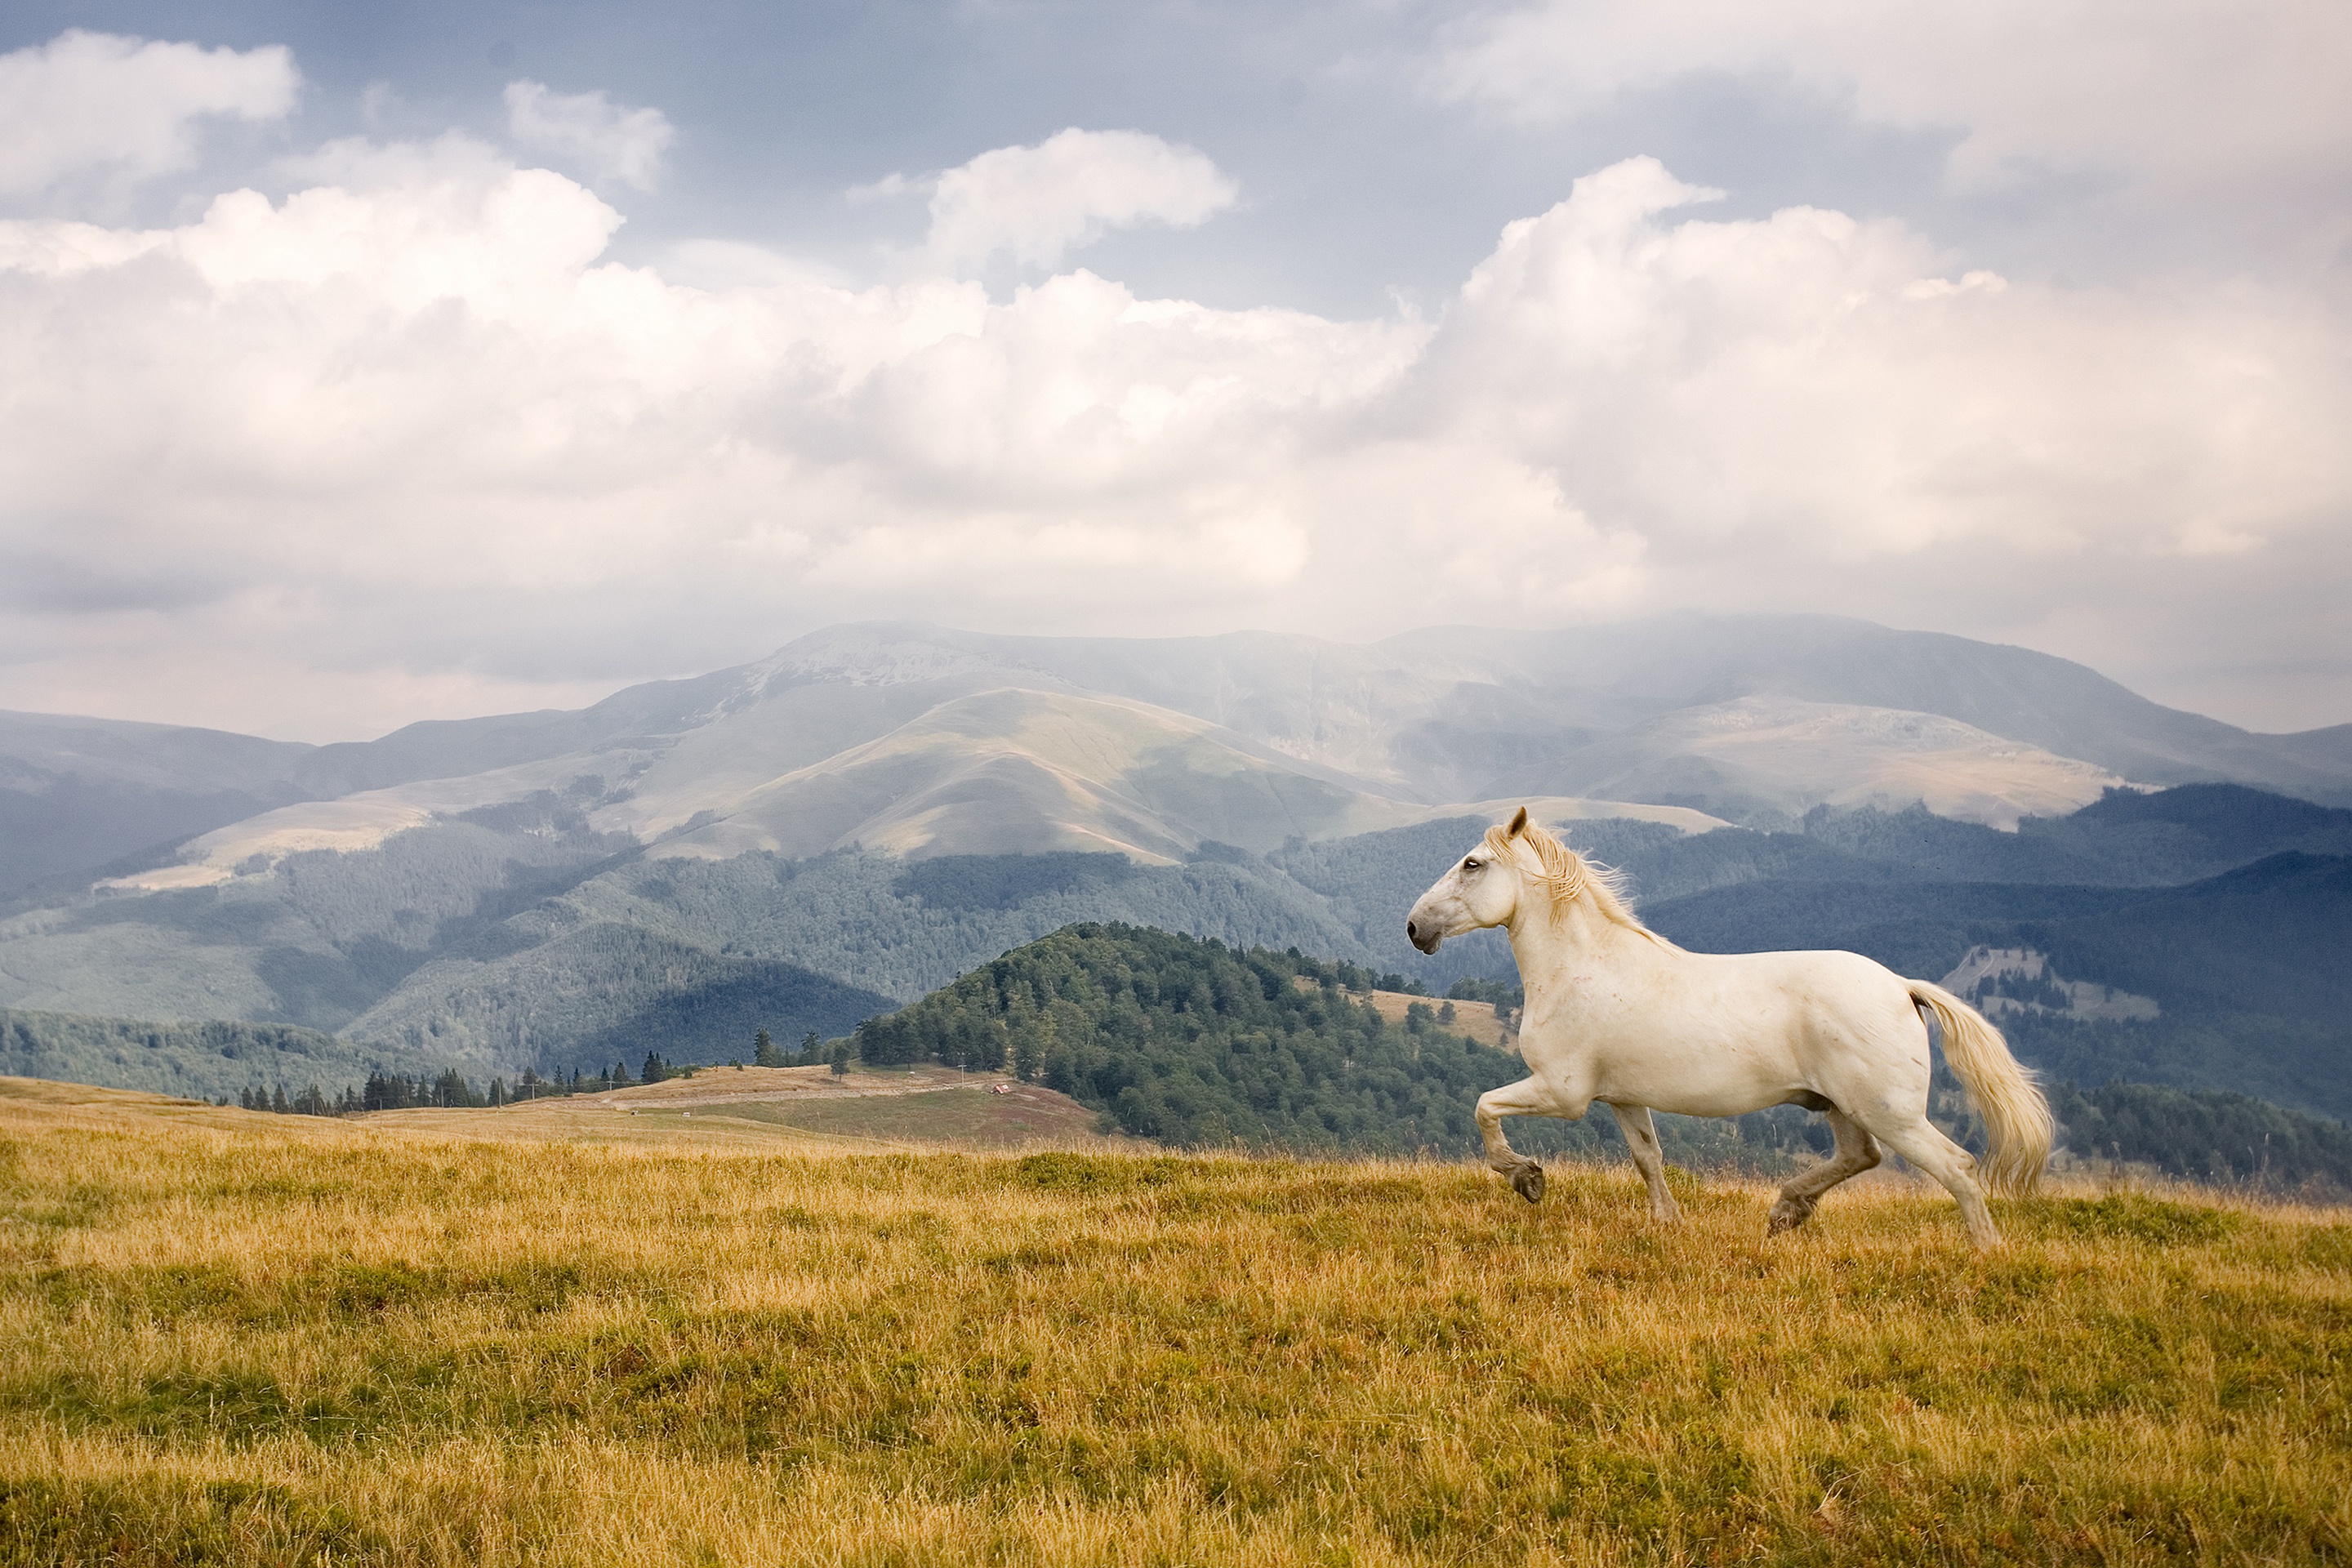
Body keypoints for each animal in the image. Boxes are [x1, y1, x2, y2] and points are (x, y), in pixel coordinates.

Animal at [1401, 808, 2051, 1250]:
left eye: (1472, 864)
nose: (1414, 927)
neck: (1581, 968)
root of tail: (1900, 986)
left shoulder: (1564, 1093)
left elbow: (1485, 1108)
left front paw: (1528, 1179)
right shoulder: (1623, 1098)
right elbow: (1648, 1157)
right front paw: (1667, 1222)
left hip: (1891, 1112)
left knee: (1955, 1166)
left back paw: (1985, 1250)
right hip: (1845, 1106)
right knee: (1859, 1156)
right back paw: (1786, 1210)